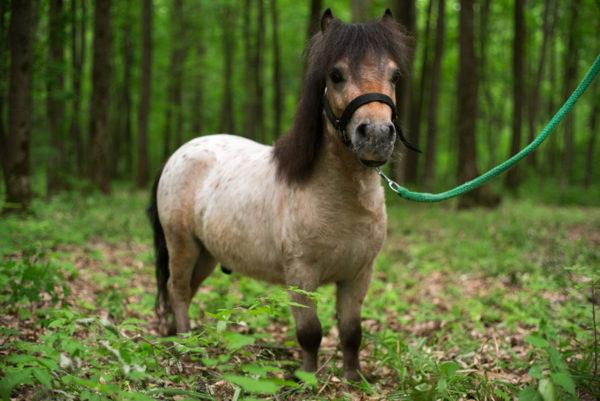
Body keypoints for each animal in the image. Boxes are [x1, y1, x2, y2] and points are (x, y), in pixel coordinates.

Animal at [149, 7, 412, 380]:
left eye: (395, 75)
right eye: (336, 75)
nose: (375, 135)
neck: (340, 200)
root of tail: (179, 154)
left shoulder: (358, 276)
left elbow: (351, 332)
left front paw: (352, 379)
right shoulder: (301, 276)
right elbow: (310, 333)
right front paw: (307, 379)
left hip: (206, 253)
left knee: (186, 289)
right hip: (181, 244)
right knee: (178, 289)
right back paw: (186, 344)